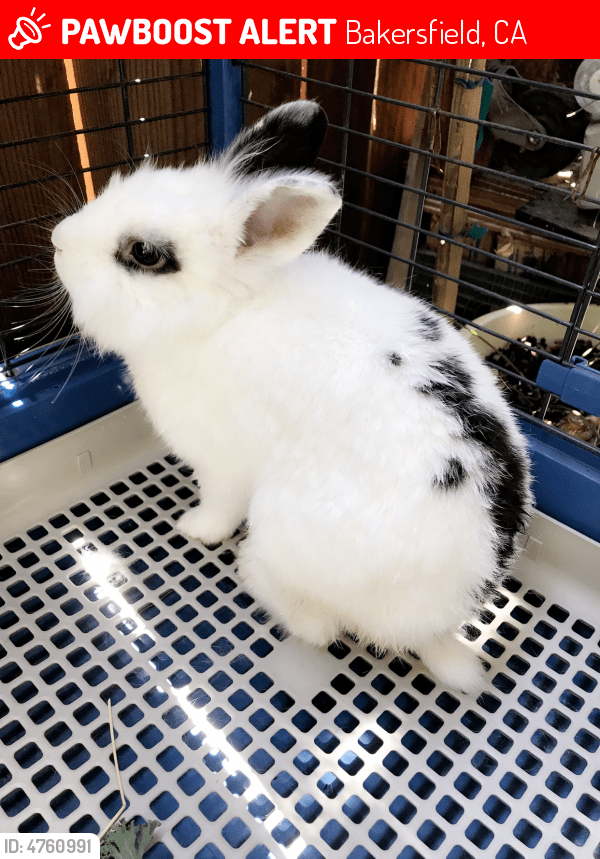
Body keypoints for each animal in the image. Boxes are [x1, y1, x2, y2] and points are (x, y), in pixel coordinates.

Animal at [52, 99, 532, 694]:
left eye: (144, 253)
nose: (57, 240)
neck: (226, 311)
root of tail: (437, 626)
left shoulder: (221, 463)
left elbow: (218, 507)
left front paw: (194, 529)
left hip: (283, 523)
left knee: (319, 627)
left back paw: (251, 573)